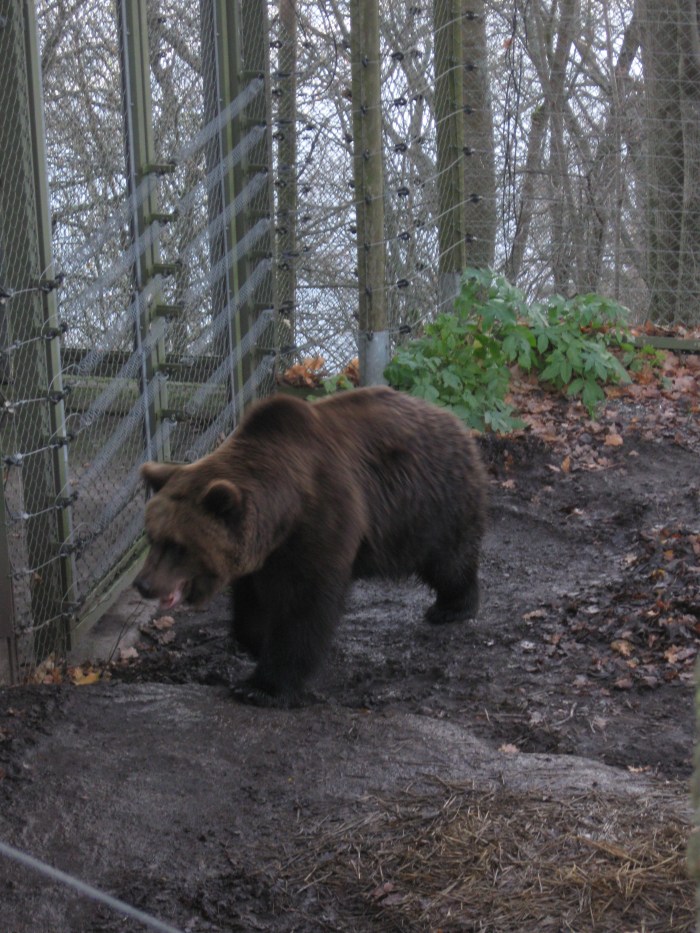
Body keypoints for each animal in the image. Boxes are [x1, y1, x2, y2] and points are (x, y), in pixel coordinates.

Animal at [134, 386, 487, 706]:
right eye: (152, 536)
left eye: (179, 545)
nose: (144, 584)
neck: (283, 514)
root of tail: (451, 419)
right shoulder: (263, 555)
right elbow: (252, 604)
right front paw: (257, 640)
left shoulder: (323, 521)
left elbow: (303, 607)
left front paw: (262, 687)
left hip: (429, 502)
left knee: (448, 559)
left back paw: (452, 606)